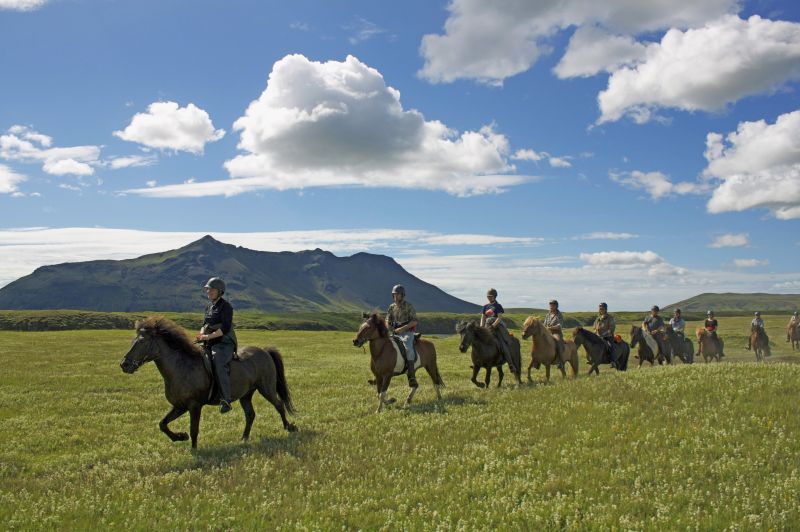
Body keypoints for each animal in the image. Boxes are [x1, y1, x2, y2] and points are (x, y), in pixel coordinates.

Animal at [117, 316, 296, 448]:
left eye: (142, 341)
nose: (124, 365)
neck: (182, 367)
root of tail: (264, 351)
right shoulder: (180, 406)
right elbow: (162, 424)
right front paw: (180, 437)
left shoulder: (194, 406)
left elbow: (194, 429)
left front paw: (194, 450)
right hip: (246, 395)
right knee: (250, 414)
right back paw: (244, 438)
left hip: (266, 389)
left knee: (279, 405)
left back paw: (289, 427)